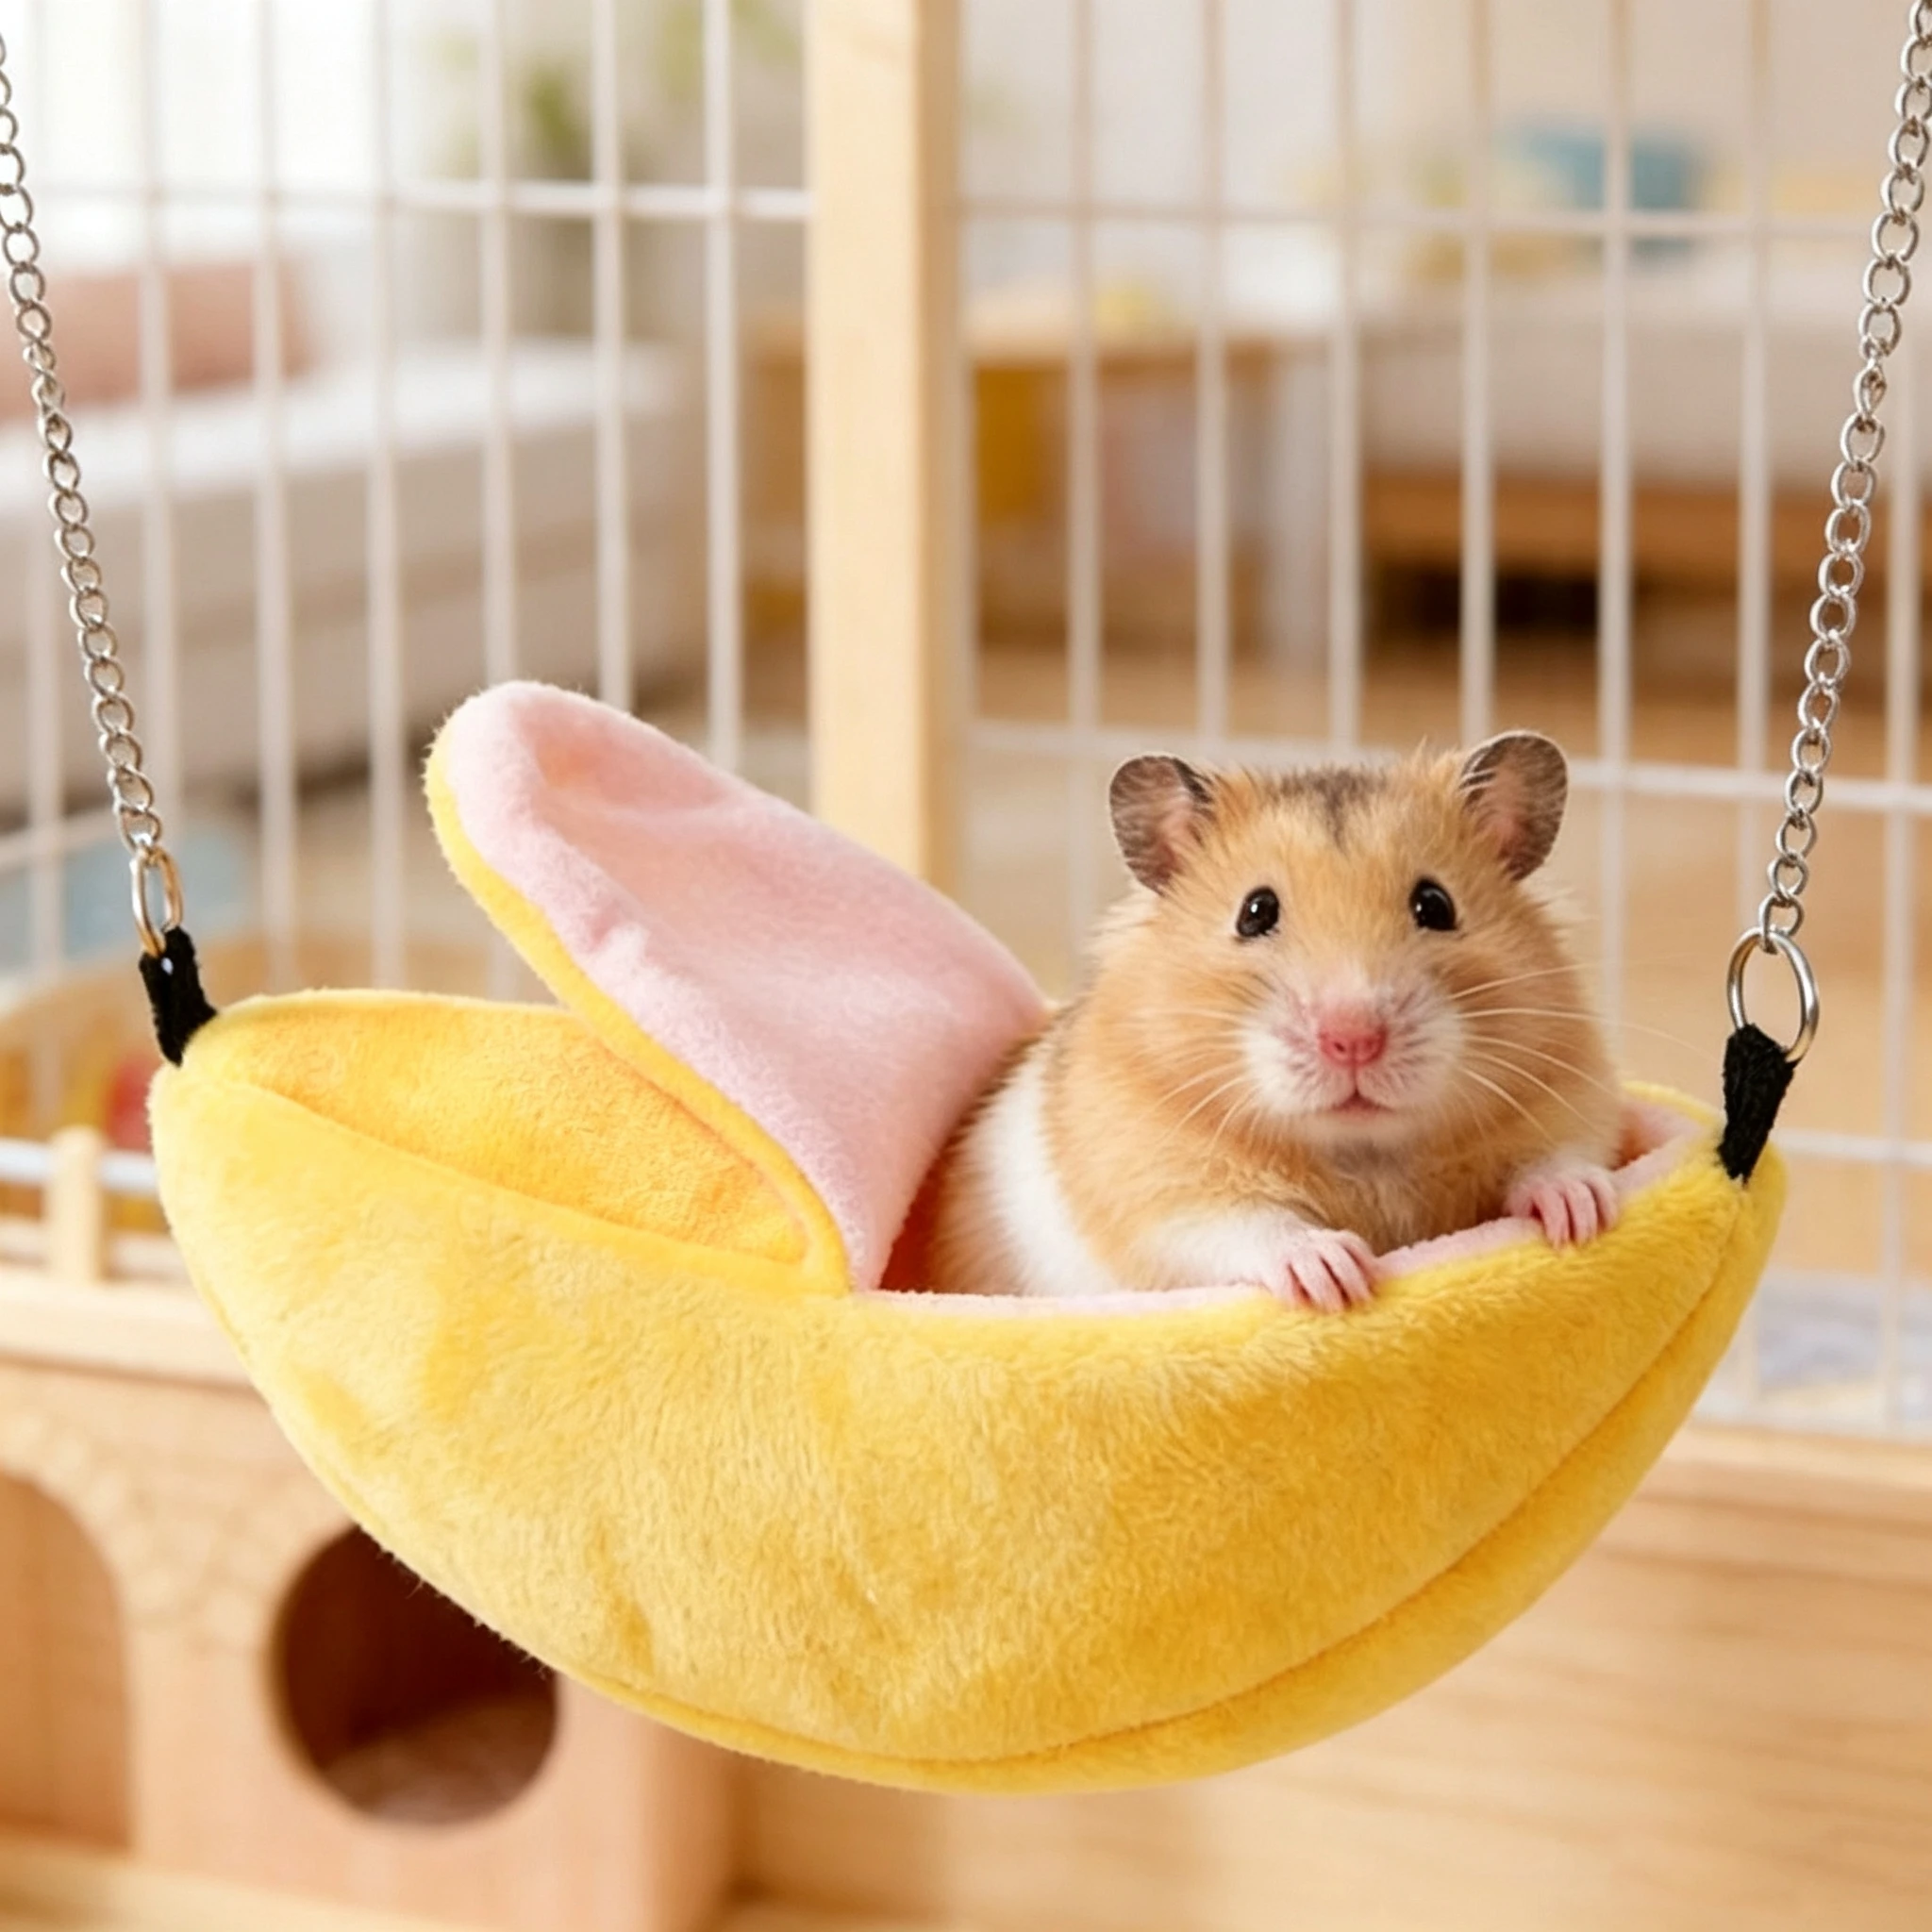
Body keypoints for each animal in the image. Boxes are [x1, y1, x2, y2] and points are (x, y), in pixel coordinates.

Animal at [926, 732, 1622, 1311]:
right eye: (1254, 912)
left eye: (1436, 904)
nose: (1352, 1040)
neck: (1365, 1155)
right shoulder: (1161, 1191)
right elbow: (1250, 1226)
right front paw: (1338, 1276)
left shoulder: (1570, 1099)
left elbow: (1560, 1159)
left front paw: (1584, 1218)